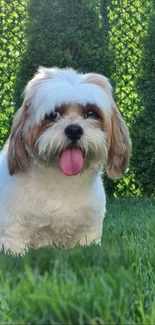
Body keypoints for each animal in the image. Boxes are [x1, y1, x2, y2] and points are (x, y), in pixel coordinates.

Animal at [0, 66, 131, 253]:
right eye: (53, 114)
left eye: (91, 113)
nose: (74, 129)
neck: (61, 180)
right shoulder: (13, 231)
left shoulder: (87, 232)